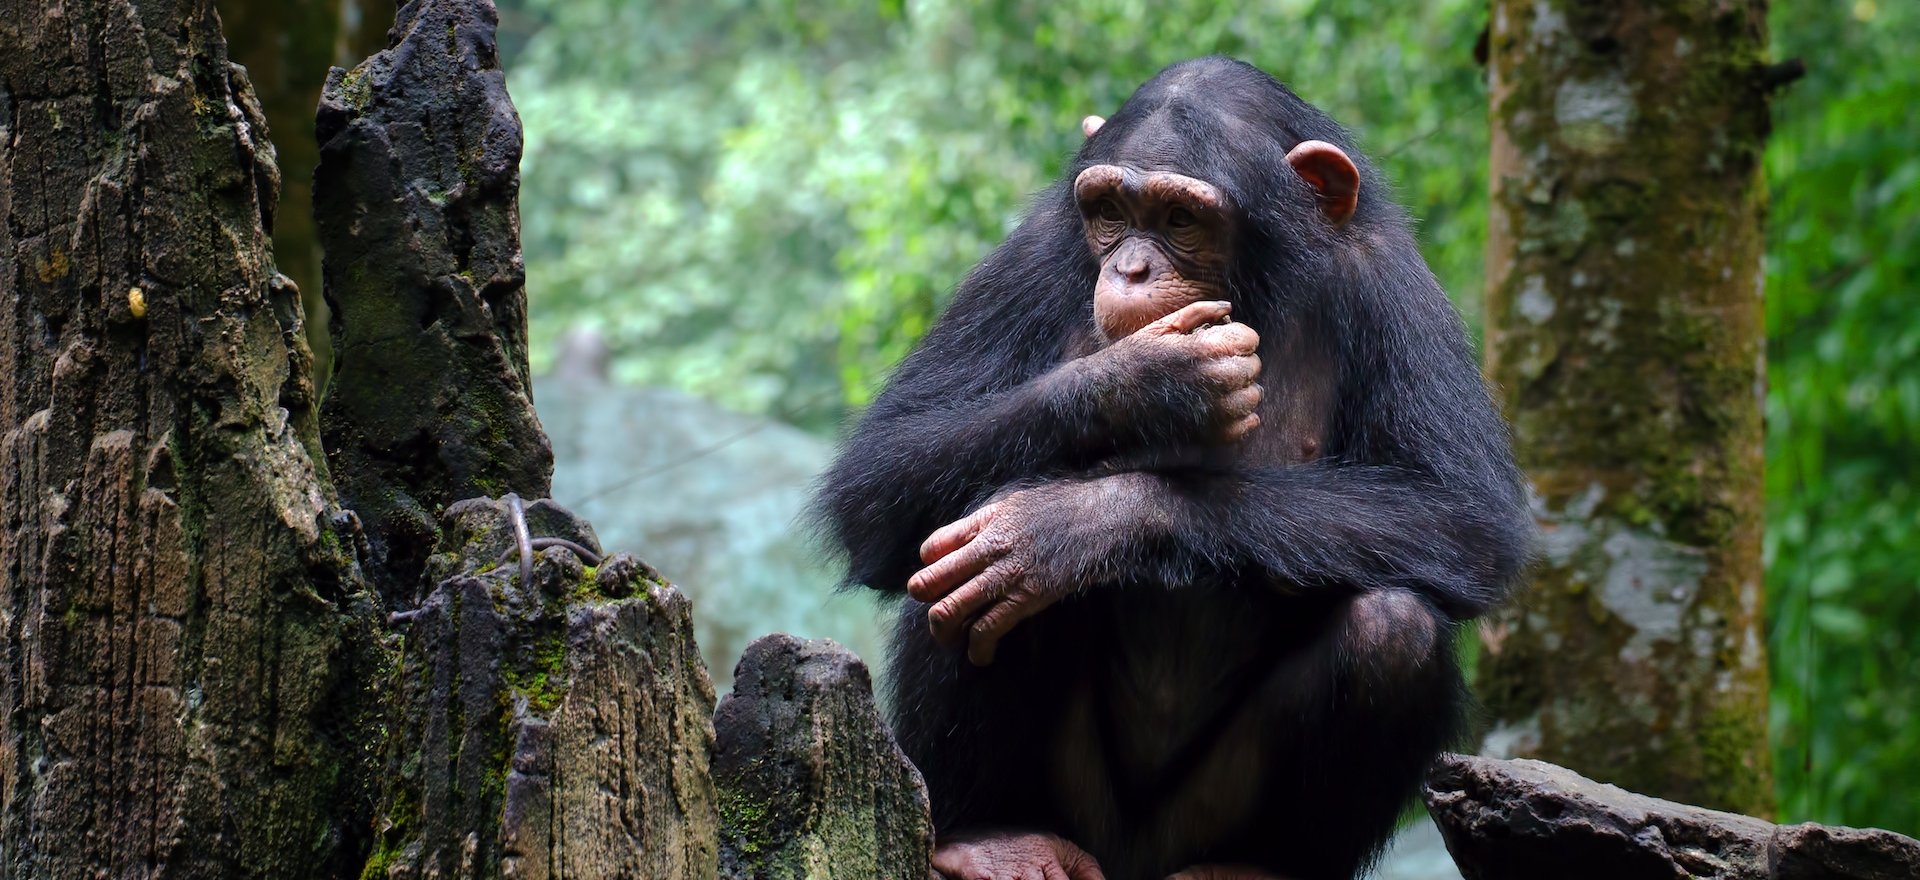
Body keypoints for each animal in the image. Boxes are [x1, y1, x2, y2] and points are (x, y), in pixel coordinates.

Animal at [810, 56, 1528, 880]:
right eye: (1110, 211)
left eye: (1181, 219)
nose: (1129, 266)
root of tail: (1130, 859)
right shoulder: (1031, 256)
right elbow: (879, 475)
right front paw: (1153, 382)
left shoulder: (1395, 285)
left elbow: (1462, 515)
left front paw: (1066, 528)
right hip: (1077, 808)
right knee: (960, 558)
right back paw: (992, 835)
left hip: (1199, 818)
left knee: (1394, 628)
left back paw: (1256, 865)